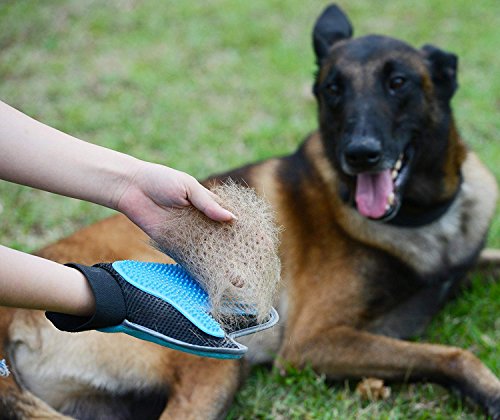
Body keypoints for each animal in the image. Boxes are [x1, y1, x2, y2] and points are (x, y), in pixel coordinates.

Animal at [0, 4, 500, 420]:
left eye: (398, 84)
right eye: (333, 90)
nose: (360, 155)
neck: (426, 219)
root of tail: (10, 315)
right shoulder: (312, 342)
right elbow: (451, 354)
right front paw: (491, 392)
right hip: (212, 364)